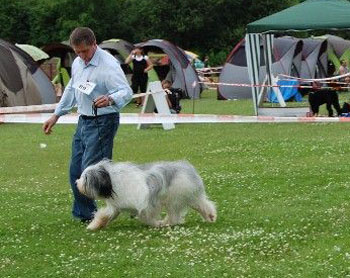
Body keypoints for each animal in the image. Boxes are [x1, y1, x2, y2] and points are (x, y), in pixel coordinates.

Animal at [76, 159, 216, 230]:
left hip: (175, 198)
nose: (77, 182)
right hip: (189, 196)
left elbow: (146, 217)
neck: (112, 181)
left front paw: (155, 224)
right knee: (203, 204)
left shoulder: (146, 205)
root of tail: (187, 167)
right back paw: (211, 216)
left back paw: (166, 223)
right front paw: (94, 226)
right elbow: (104, 215)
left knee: (174, 215)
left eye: (86, 178)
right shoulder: (115, 207)